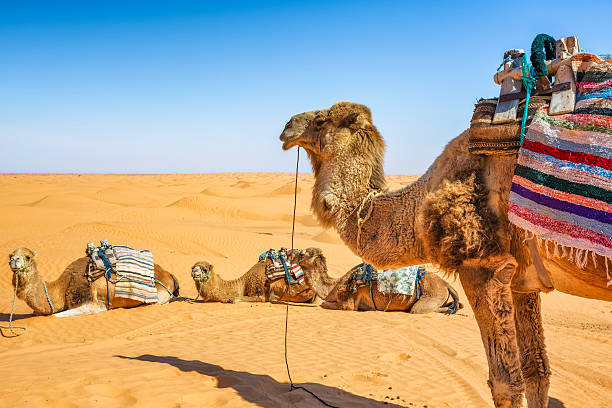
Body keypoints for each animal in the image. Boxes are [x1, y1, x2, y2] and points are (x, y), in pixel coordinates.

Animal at [7, 245, 179, 316]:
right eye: (10, 255)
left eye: (27, 257)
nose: (14, 260)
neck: (63, 286)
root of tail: (169, 275)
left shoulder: (89, 303)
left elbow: (55, 316)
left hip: (159, 296)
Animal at [296, 245, 460, 312]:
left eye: (302, 254)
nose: (294, 254)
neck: (333, 287)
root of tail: (446, 284)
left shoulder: (348, 303)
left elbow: (324, 304)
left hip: (429, 299)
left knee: (418, 310)